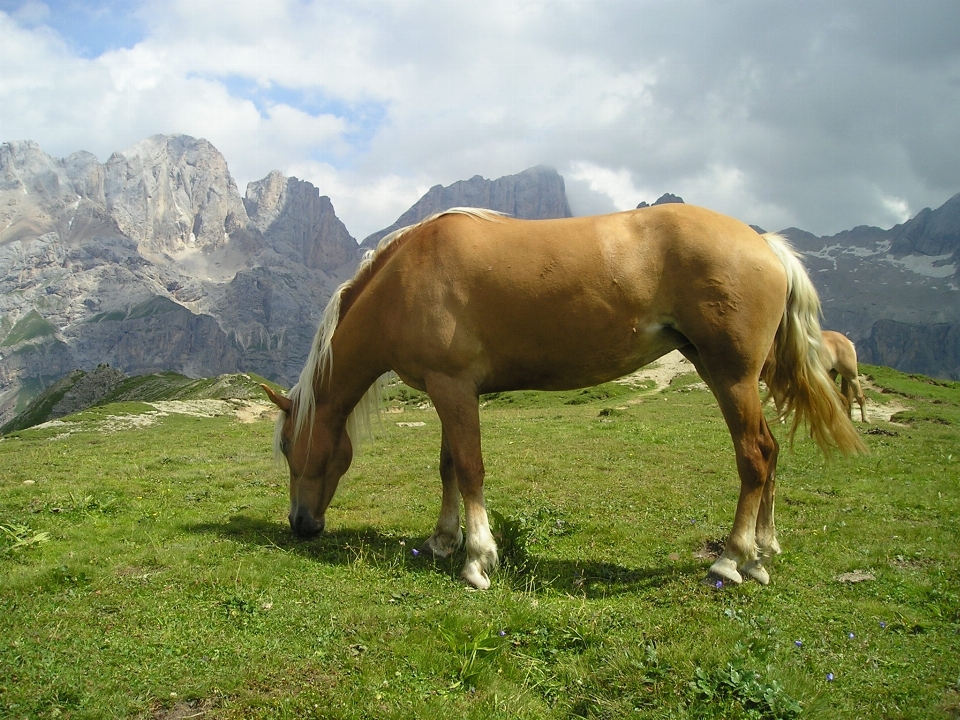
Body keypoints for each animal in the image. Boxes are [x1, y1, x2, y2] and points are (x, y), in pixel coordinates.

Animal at [260, 205, 864, 588]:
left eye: (290, 448)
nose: (300, 525)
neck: (407, 278)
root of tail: (765, 245)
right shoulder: (449, 389)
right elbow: (449, 466)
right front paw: (442, 540)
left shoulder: (453, 387)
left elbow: (471, 468)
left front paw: (477, 559)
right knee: (771, 453)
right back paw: (763, 550)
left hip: (731, 375)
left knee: (755, 456)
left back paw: (733, 560)